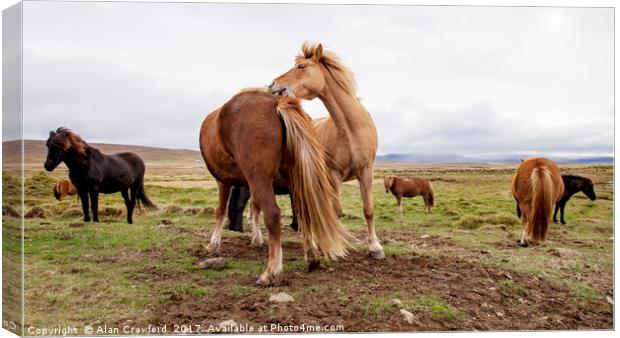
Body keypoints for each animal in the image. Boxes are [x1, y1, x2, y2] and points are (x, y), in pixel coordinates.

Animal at [201, 89, 352, 286]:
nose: (234, 227)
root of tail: (277, 103)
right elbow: (254, 208)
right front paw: (256, 239)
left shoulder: (224, 180)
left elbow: (221, 210)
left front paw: (213, 244)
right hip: (294, 177)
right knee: (303, 211)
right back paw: (311, 257)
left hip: (261, 177)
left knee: (272, 214)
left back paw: (271, 272)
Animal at [270, 41, 386, 258]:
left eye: (302, 66)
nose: (272, 84)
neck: (351, 129)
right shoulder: (334, 175)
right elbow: (337, 211)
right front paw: (335, 246)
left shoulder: (366, 171)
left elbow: (369, 209)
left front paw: (375, 246)